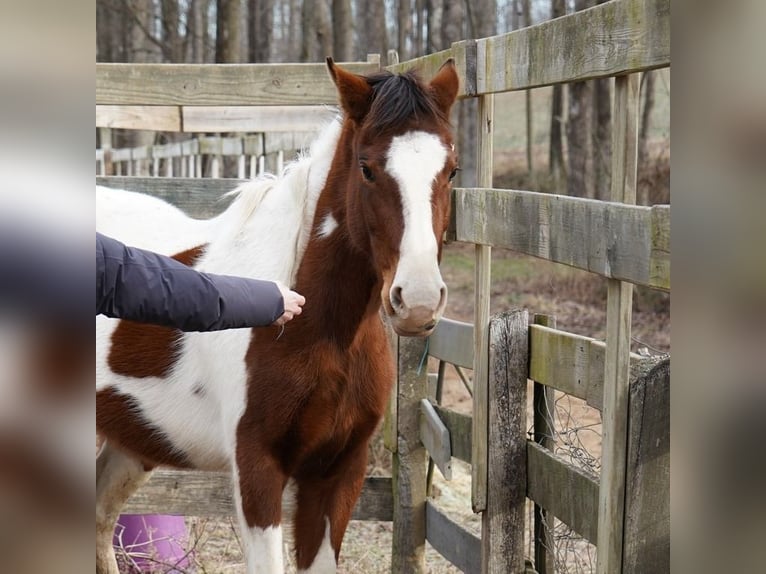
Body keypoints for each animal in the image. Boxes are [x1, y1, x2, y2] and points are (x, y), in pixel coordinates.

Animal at [94, 59, 460, 574]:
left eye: (451, 170)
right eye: (367, 168)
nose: (420, 301)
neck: (324, 333)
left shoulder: (337, 473)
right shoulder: (258, 469)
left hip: (131, 442)